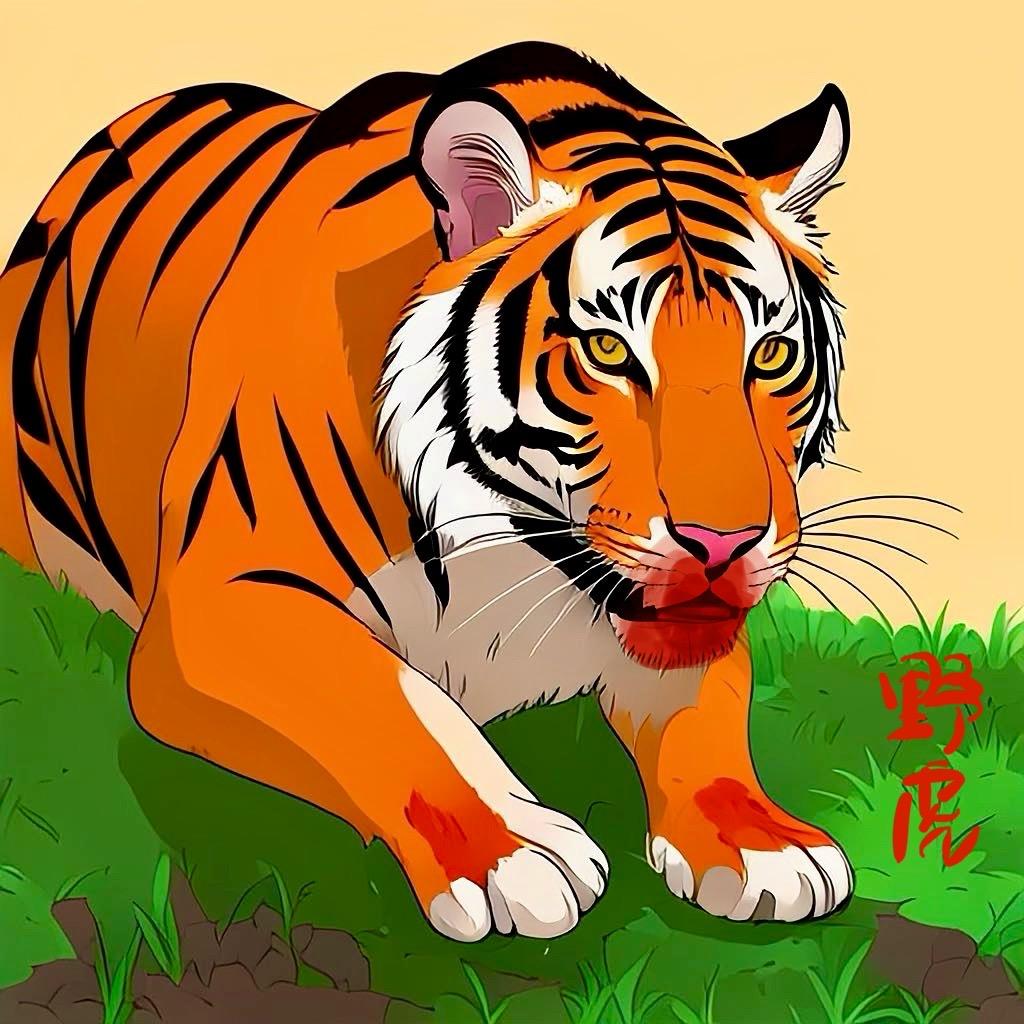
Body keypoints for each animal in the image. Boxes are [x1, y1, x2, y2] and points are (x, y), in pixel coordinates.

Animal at [0, 41, 853, 940]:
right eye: (609, 352)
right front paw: (512, 851)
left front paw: (760, 842)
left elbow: (708, 707)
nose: (724, 544)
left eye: (769, 356)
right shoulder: (219, 602)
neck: (512, 554)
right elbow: (391, 698)